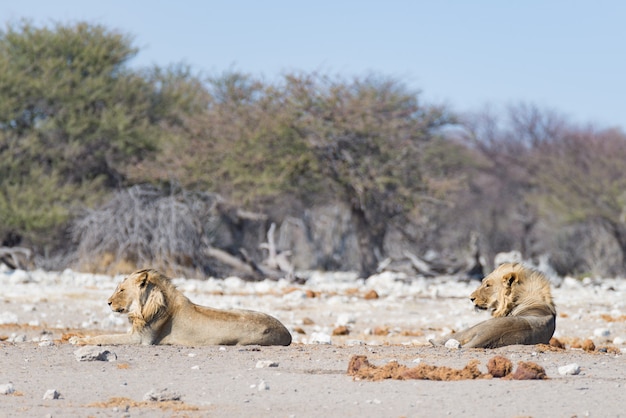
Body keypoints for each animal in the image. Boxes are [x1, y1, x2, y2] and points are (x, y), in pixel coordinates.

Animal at [72, 268, 292, 346]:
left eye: (122, 290)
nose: (108, 302)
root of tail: (288, 333)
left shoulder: (142, 339)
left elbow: (105, 337)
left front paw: (79, 340)